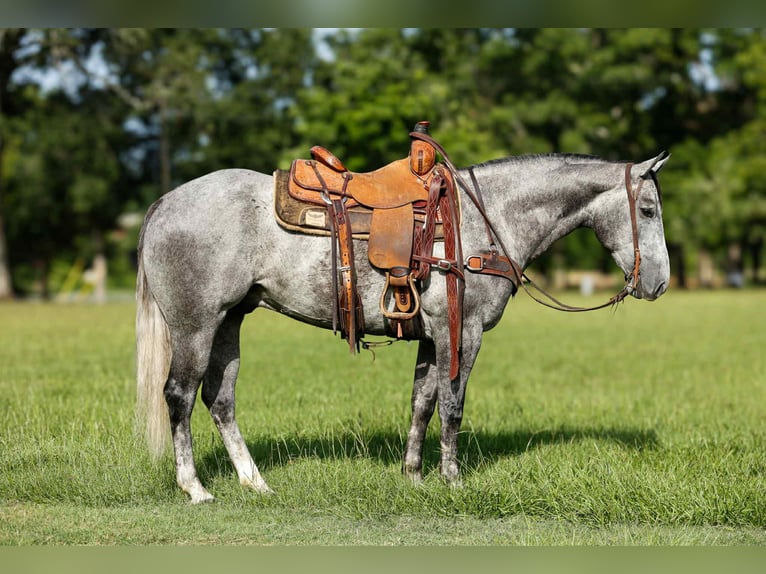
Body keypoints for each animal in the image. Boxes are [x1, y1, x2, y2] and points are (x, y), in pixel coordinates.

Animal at [136, 150, 670, 503]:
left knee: (219, 398)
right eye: (647, 210)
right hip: (195, 324)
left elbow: (422, 403)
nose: (659, 283)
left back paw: (255, 482)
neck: (483, 222)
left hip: (229, 321)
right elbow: (453, 405)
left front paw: (413, 475)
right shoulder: (463, 331)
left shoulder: (431, 337)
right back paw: (195, 488)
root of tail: (164, 202)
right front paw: (453, 479)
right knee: (180, 396)